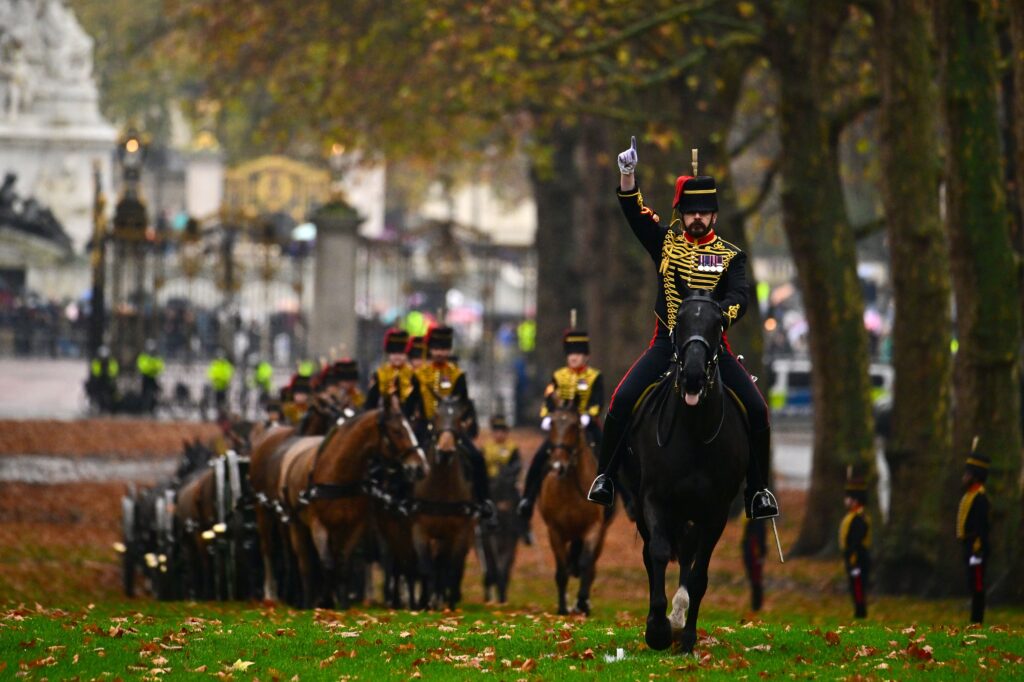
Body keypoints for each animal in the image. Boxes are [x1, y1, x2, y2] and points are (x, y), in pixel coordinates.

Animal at [282, 394, 427, 608]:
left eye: (409, 427)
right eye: (397, 431)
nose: (420, 467)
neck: (338, 474)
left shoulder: (354, 526)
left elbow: (342, 565)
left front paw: (342, 604)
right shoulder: (318, 524)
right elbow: (327, 564)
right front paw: (324, 601)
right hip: (297, 525)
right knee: (305, 563)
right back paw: (308, 600)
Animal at [412, 395, 477, 610]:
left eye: (459, 419)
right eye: (436, 416)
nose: (446, 450)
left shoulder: (459, 533)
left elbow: (451, 568)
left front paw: (448, 603)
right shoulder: (420, 531)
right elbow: (426, 568)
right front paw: (427, 602)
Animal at [538, 400, 612, 615]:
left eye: (575, 426)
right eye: (551, 424)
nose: (558, 466)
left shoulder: (594, 528)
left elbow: (586, 564)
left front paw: (581, 603)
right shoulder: (555, 531)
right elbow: (562, 570)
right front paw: (563, 607)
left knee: (591, 566)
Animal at [623, 293, 749, 653]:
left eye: (717, 323)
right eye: (679, 320)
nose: (692, 375)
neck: (694, 431)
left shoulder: (716, 511)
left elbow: (699, 575)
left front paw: (688, 638)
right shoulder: (654, 498)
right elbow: (659, 552)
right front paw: (657, 629)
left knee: (689, 556)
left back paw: (680, 615)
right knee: (652, 552)